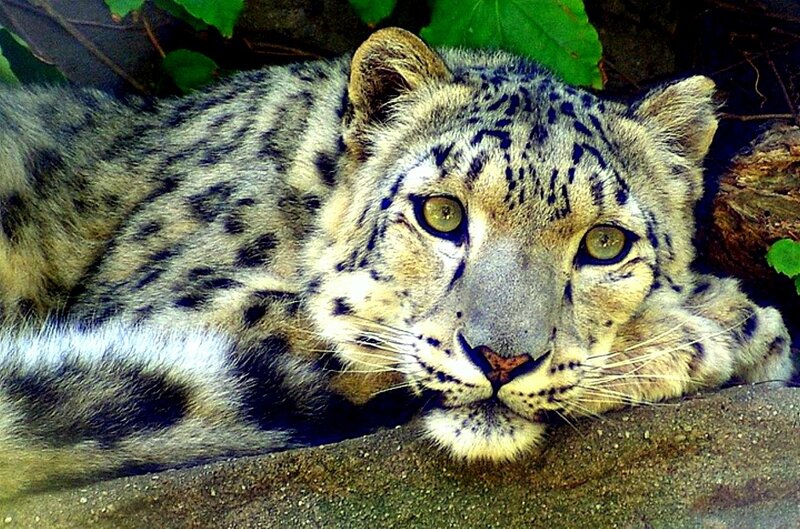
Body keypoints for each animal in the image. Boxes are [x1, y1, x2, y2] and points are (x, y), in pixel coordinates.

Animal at [0, 27, 793, 499]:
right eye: (441, 213)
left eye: (605, 243)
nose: (502, 360)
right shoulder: (169, 299)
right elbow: (333, 322)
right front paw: (712, 328)